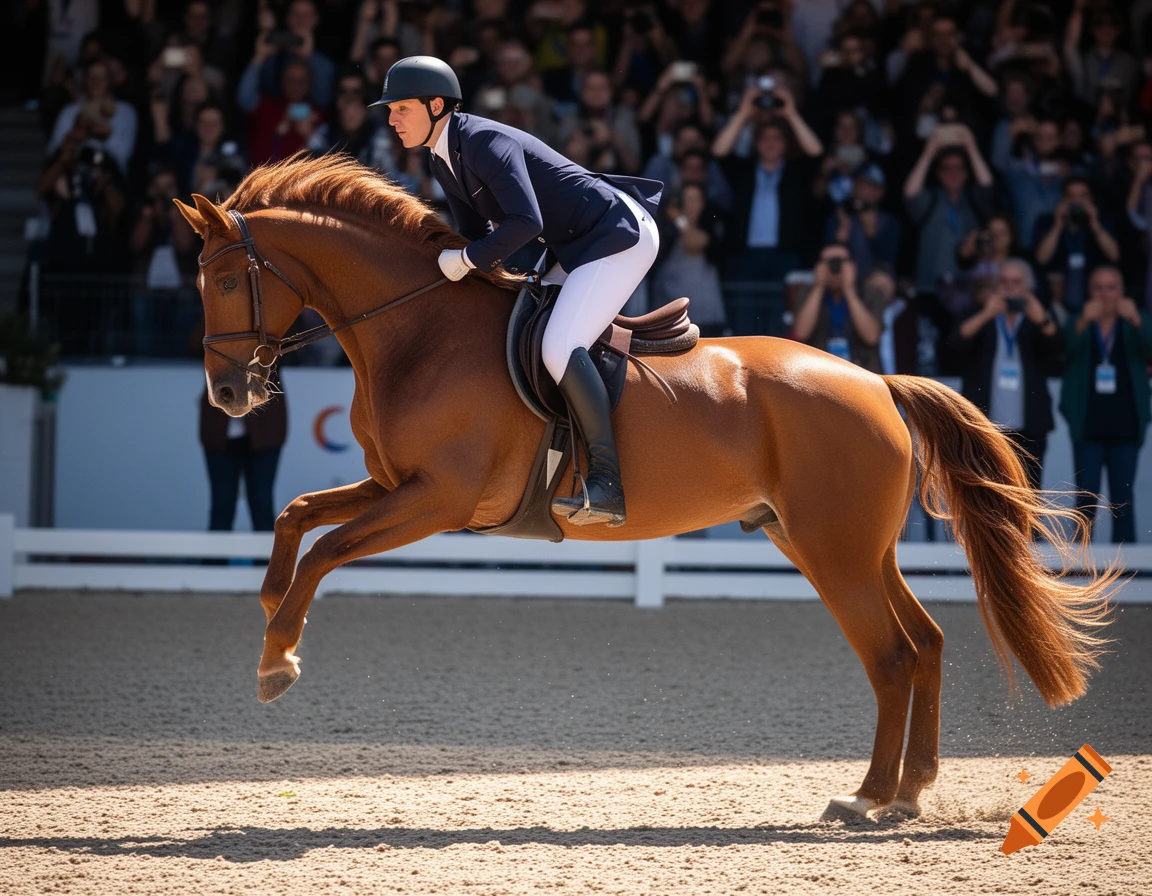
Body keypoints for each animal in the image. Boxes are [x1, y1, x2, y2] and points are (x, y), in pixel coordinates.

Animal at [174, 153, 1116, 819]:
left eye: (223, 279)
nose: (227, 396)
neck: (418, 324)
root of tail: (877, 382)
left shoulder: (437, 498)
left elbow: (327, 546)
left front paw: (278, 662)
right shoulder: (395, 485)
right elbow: (298, 517)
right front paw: (270, 614)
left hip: (834, 550)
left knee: (889, 657)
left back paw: (866, 799)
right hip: (841, 544)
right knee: (923, 644)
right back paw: (908, 794)